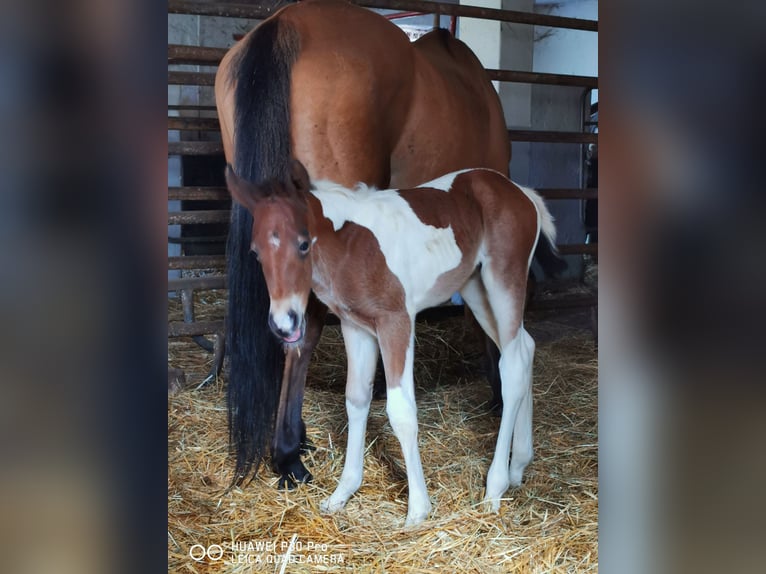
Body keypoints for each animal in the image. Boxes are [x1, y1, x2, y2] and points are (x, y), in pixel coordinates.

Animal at [228, 160, 560, 528]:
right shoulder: (356, 327)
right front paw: (342, 493)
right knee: (524, 349)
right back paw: (519, 465)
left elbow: (400, 411)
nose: (284, 324)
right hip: (475, 288)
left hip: (503, 280)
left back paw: (495, 488)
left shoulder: (396, 322)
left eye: (303, 244)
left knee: (513, 364)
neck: (349, 243)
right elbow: (356, 400)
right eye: (255, 252)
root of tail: (520, 192)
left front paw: (418, 509)